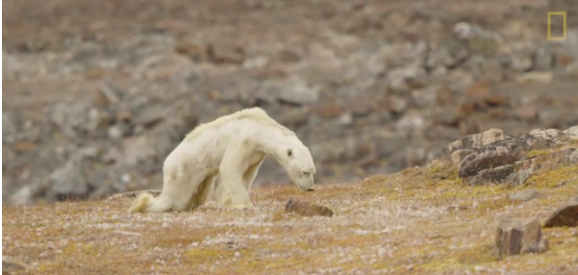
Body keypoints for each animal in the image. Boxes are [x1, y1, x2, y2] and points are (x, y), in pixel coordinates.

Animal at [128, 107, 316, 213]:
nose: (310, 188)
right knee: (174, 198)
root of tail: (166, 164)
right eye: (305, 172)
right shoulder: (241, 142)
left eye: (313, 171)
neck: (257, 128)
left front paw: (228, 201)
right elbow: (229, 168)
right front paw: (244, 205)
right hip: (182, 172)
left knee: (199, 193)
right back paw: (143, 204)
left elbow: (247, 174)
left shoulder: (255, 153)